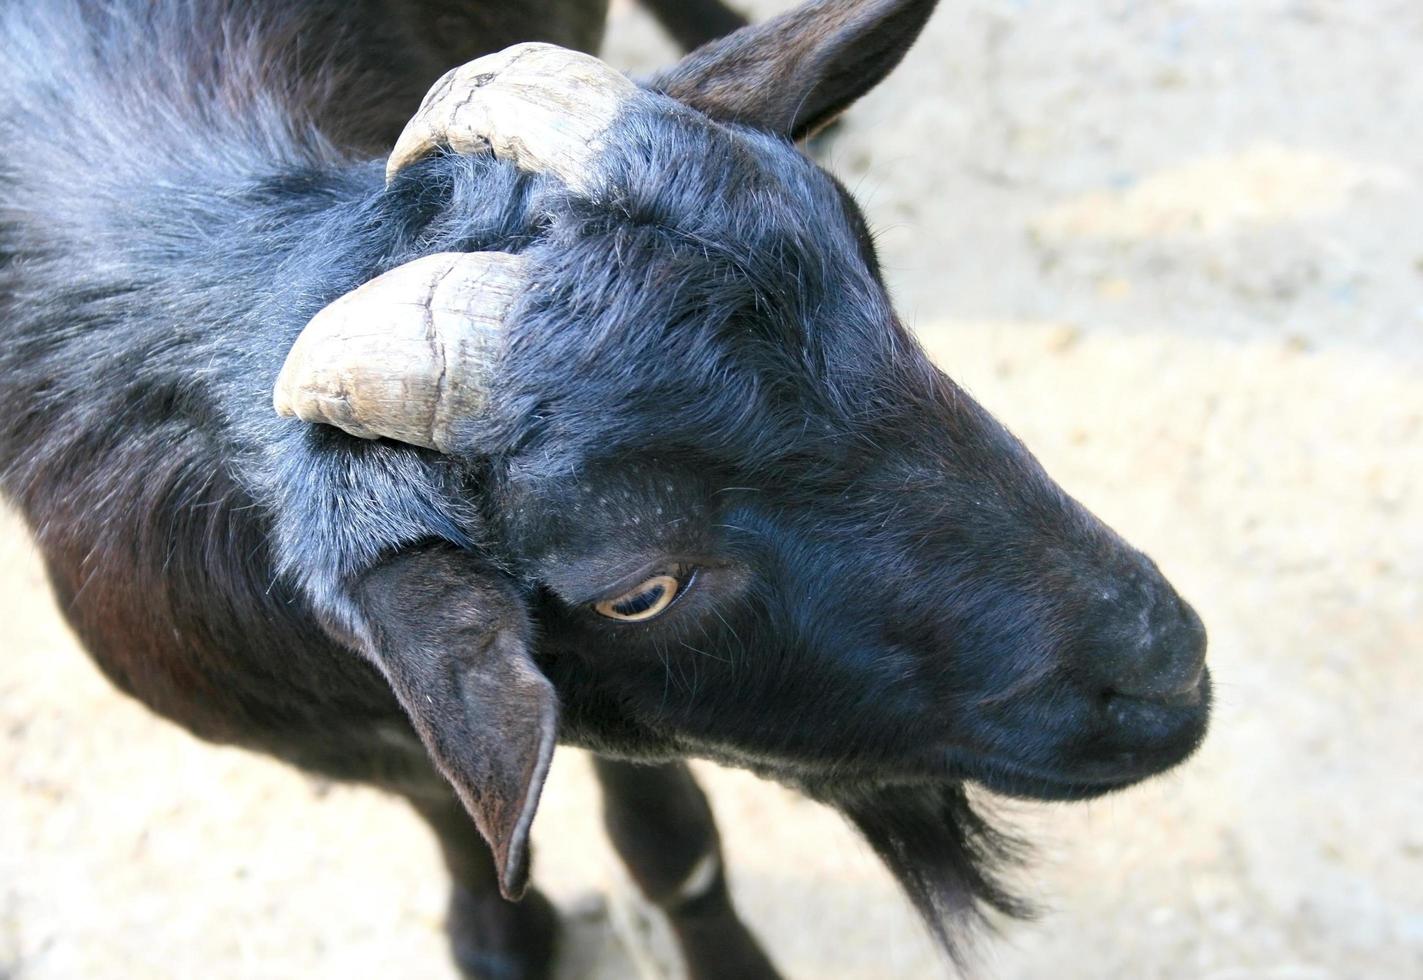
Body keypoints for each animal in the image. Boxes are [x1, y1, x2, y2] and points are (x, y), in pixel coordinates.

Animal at [0, 0, 1212, 972]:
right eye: (639, 591)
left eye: (868, 281)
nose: (1164, 665)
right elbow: (452, 811)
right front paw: (499, 936)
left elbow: (670, 850)